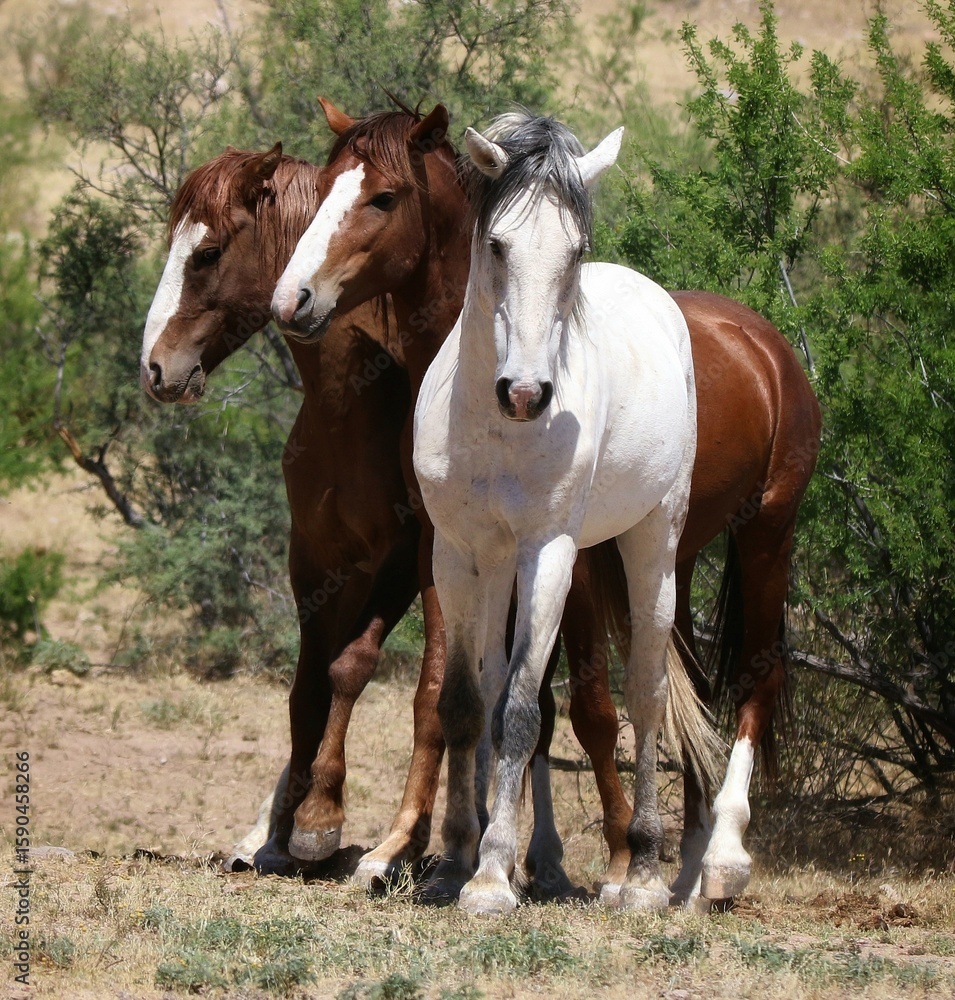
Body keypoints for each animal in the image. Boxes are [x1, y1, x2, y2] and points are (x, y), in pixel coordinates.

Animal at [272, 99, 821, 907]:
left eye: (574, 249)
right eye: (496, 244)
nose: (526, 392)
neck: (493, 422)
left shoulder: (552, 556)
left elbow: (528, 709)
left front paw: (496, 875)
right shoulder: (458, 553)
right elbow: (468, 703)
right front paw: (454, 860)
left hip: (708, 540)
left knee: (671, 687)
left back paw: (673, 867)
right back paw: (680, 862)